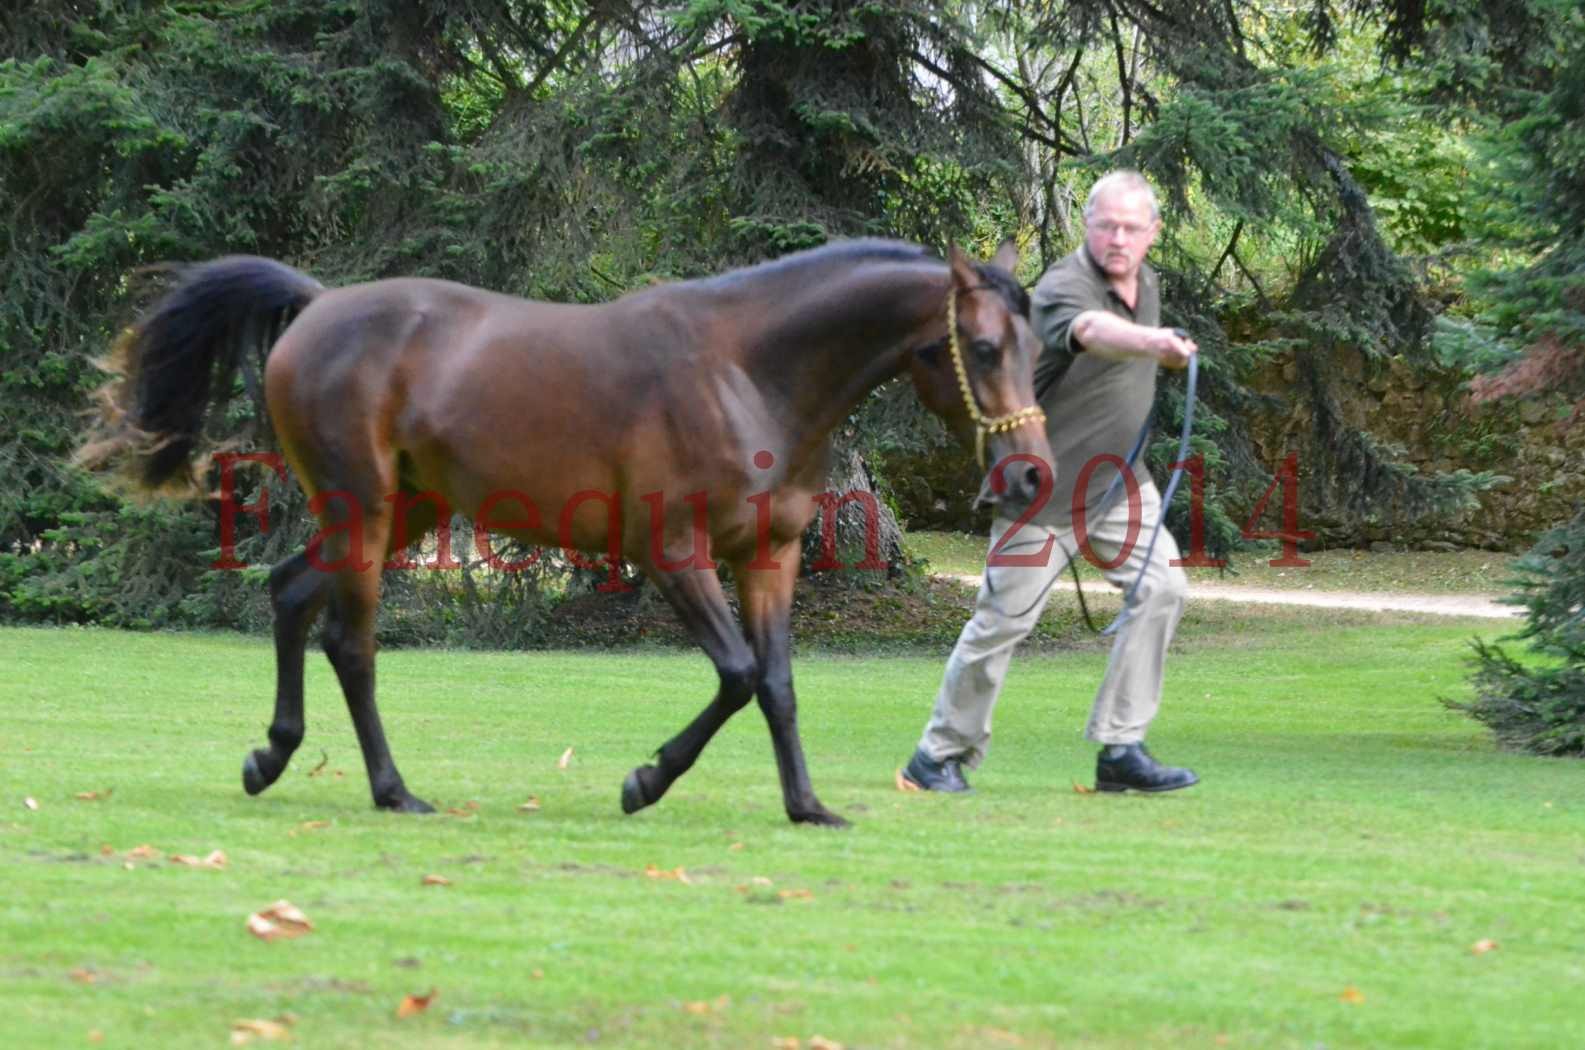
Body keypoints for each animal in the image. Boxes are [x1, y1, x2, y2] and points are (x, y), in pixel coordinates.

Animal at [80, 241, 1058, 831]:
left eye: (1031, 344)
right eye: (978, 345)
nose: (1030, 479)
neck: (747, 372)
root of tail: (318, 306)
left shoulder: (767, 561)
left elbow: (777, 686)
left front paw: (807, 805)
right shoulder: (673, 555)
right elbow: (738, 675)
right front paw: (644, 781)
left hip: (403, 512)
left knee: (288, 594)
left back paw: (271, 757)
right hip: (363, 510)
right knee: (349, 644)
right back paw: (393, 791)